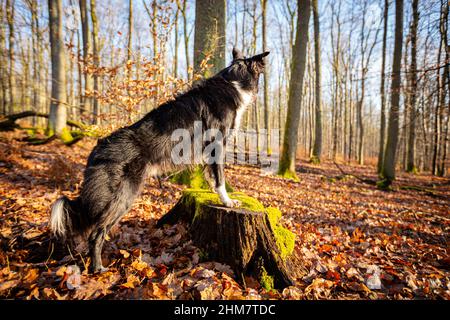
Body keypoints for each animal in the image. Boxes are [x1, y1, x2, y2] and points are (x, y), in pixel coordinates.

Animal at [50, 47, 268, 272]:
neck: (234, 81)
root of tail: (97, 148)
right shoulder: (217, 145)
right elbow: (220, 178)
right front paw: (227, 201)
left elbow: (210, 176)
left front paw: (210, 192)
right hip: (124, 196)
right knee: (96, 234)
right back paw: (98, 268)